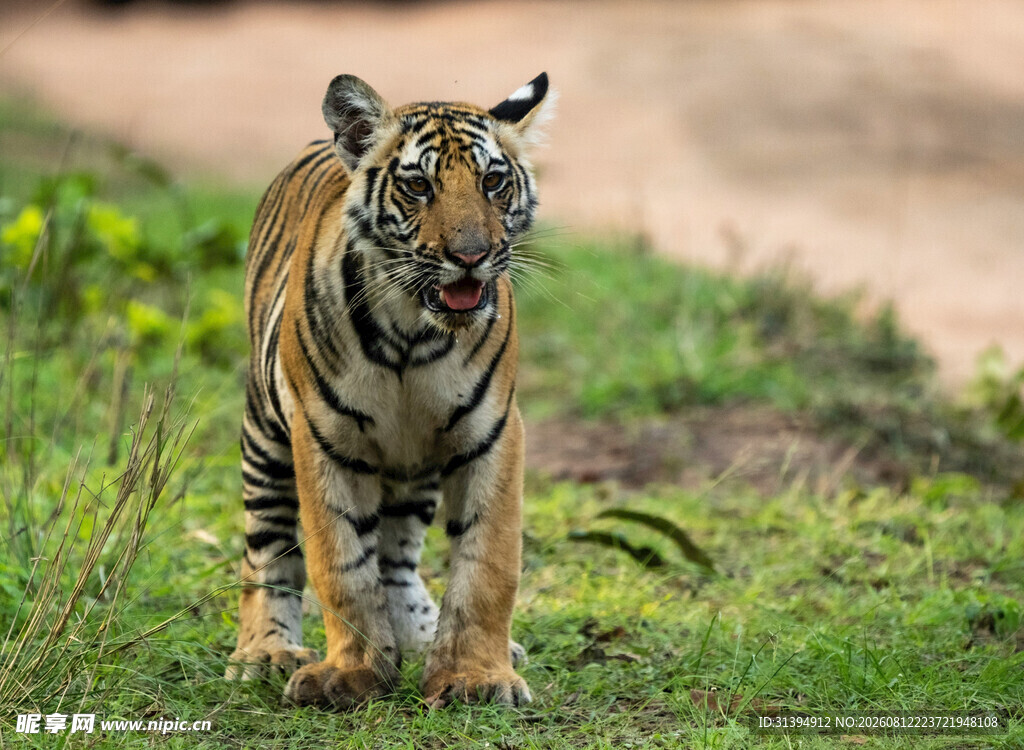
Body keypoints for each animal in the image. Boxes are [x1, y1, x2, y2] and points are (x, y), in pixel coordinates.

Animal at [224, 72, 554, 710]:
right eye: (419, 185)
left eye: (493, 182)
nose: (471, 256)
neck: (412, 333)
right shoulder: (323, 437)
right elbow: (341, 565)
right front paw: (351, 675)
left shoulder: (492, 433)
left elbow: (487, 563)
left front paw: (476, 676)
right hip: (265, 437)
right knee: (268, 549)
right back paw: (265, 652)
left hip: (415, 466)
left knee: (398, 557)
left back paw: (422, 636)